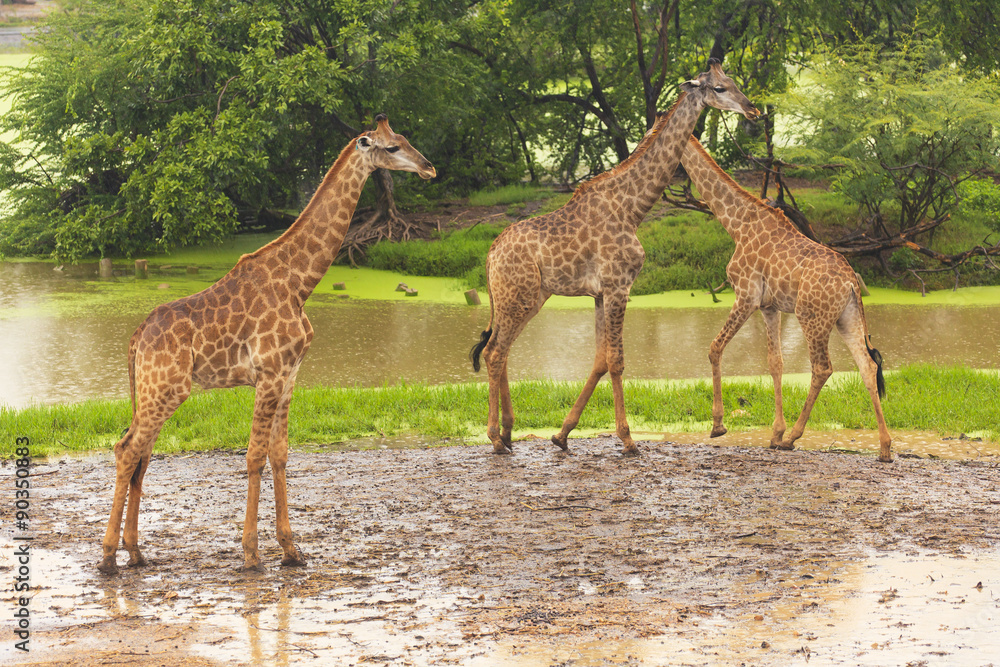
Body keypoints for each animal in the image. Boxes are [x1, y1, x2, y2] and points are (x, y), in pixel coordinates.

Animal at [97, 115, 436, 575]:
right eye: (392, 147)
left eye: (404, 138)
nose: (429, 168)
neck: (299, 283)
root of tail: (135, 339)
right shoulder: (270, 373)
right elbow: (254, 455)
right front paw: (251, 553)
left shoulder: (290, 374)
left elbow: (280, 454)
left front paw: (292, 550)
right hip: (166, 389)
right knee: (126, 449)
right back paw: (108, 557)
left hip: (153, 391)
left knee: (141, 454)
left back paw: (135, 552)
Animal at [469, 60, 759, 456]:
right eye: (719, 88)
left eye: (734, 81)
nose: (753, 110)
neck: (633, 208)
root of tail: (491, 253)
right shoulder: (620, 286)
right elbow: (618, 361)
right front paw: (628, 439)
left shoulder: (600, 293)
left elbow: (600, 359)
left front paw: (562, 434)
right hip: (519, 296)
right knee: (496, 352)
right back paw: (496, 439)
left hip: (526, 297)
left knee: (499, 350)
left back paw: (510, 433)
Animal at [680, 135, 892, 462]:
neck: (737, 224)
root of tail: (850, 283)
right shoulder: (770, 307)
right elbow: (775, 362)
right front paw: (774, 433)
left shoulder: (746, 295)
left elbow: (715, 347)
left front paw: (718, 426)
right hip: (847, 318)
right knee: (867, 367)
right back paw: (885, 448)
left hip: (812, 317)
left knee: (822, 368)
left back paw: (793, 437)